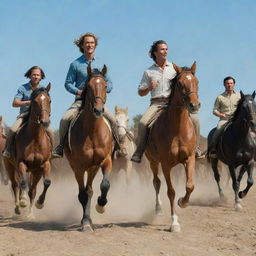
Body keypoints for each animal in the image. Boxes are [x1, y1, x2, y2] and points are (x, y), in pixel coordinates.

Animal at [3, 84, 52, 218]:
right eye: (35, 102)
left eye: (49, 101)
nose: (45, 122)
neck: (35, 138)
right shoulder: (21, 163)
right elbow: (23, 183)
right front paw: (23, 201)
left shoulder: (43, 165)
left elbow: (46, 183)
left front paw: (39, 204)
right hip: (10, 167)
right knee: (16, 185)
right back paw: (18, 208)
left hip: (34, 172)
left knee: (31, 189)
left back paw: (30, 213)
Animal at [65, 64, 114, 232]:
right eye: (89, 86)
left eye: (105, 86)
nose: (98, 110)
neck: (92, 131)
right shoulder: (78, 167)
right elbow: (82, 195)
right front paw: (85, 222)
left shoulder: (106, 161)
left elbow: (105, 185)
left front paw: (101, 205)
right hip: (79, 168)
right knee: (84, 193)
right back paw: (86, 220)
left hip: (93, 168)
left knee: (90, 190)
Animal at [144, 61, 200, 232]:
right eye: (180, 84)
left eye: (197, 82)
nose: (194, 105)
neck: (177, 129)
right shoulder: (166, 164)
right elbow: (171, 192)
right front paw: (174, 222)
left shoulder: (190, 159)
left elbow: (190, 185)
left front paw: (183, 202)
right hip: (153, 162)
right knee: (156, 183)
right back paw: (158, 209)